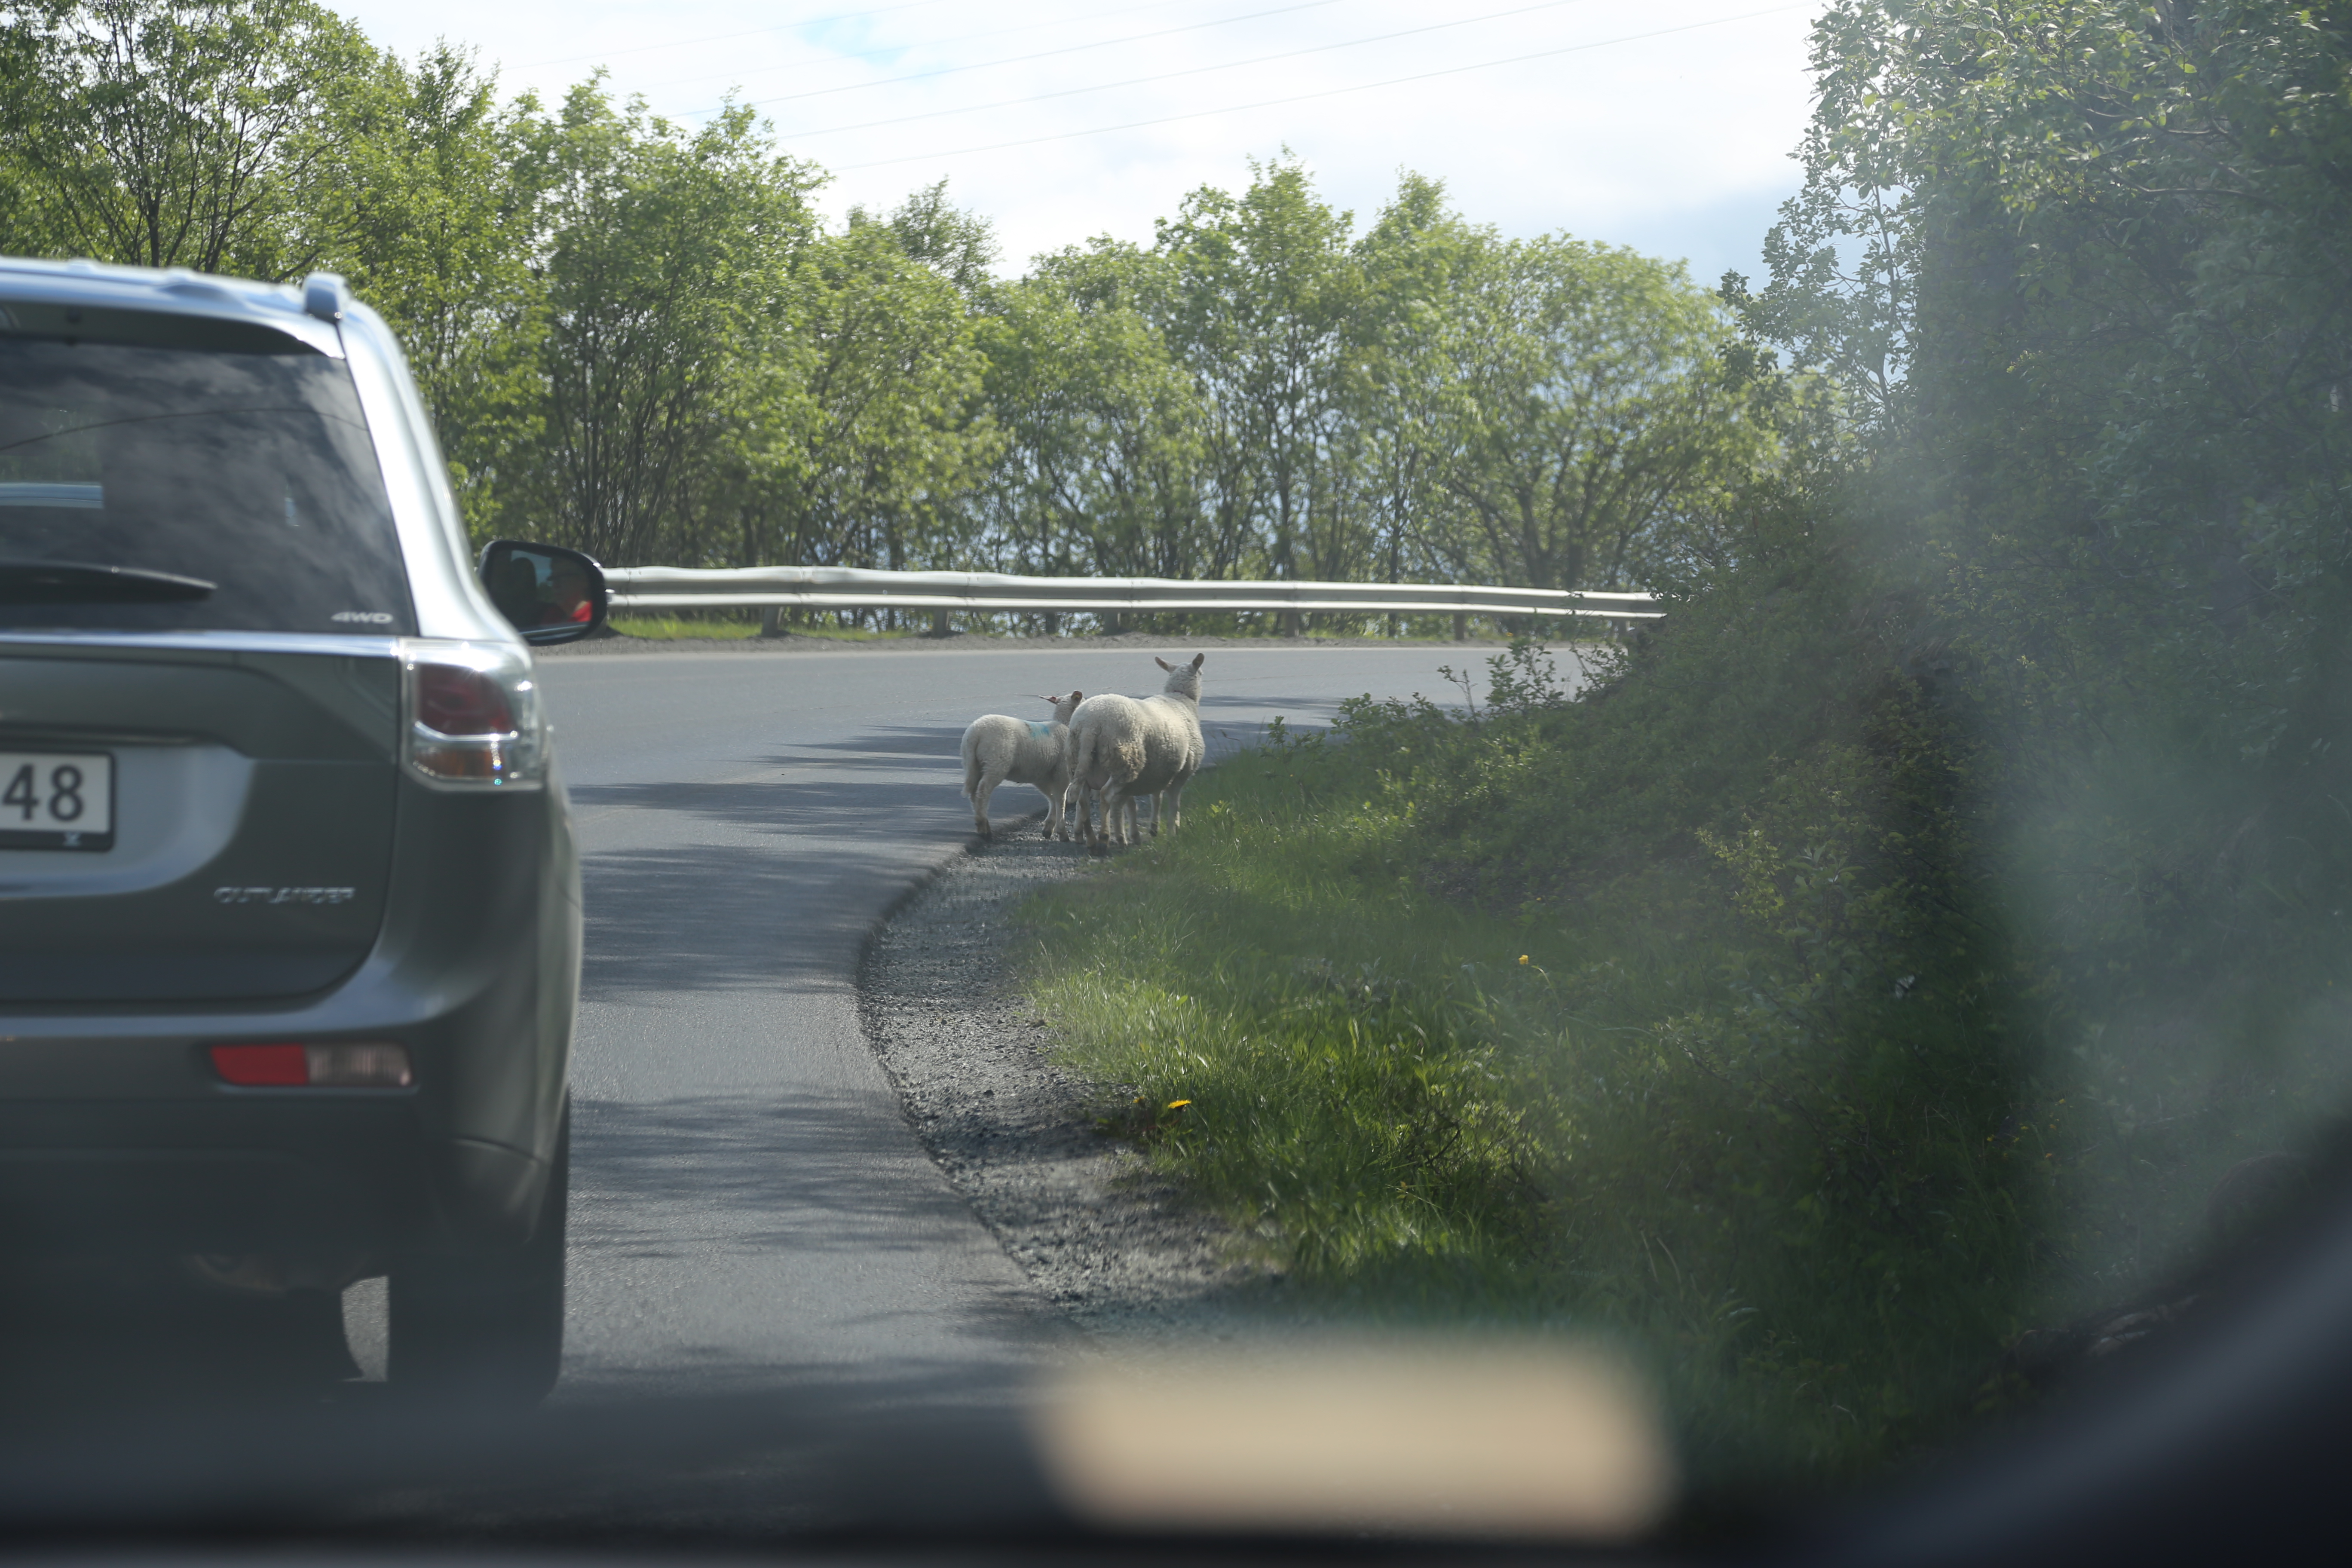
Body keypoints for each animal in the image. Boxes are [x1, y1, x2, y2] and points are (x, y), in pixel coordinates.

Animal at [955, 691, 1082, 841]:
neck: (1064, 725)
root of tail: (975, 733)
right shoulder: (1061, 773)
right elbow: (1060, 799)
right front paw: (1062, 832)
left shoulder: (1041, 777)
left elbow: (1051, 798)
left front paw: (1048, 828)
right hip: (996, 762)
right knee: (983, 791)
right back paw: (983, 828)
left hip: (972, 764)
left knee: (974, 792)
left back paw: (982, 824)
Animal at [1072, 658, 1204, 865]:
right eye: (1202, 673)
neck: (1181, 699)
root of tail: (1090, 724)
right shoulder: (1181, 773)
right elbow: (1174, 804)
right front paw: (1172, 832)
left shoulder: (1157, 772)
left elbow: (1146, 801)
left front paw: (1147, 831)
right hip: (1124, 762)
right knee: (1105, 795)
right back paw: (1103, 840)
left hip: (1083, 761)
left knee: (1083, 800)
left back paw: (1092, 841)